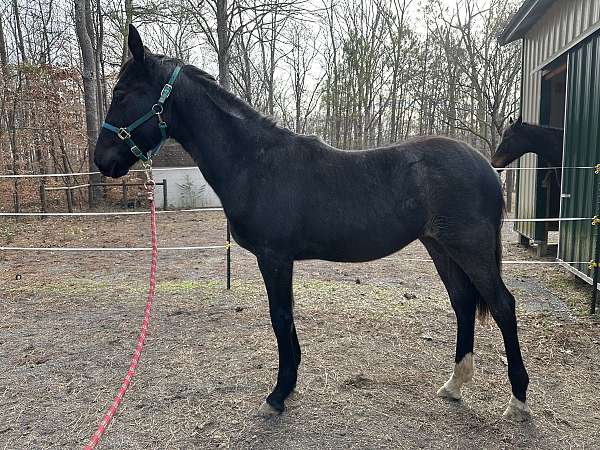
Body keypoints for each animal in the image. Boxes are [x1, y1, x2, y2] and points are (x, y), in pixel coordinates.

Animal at [92, 26, 528, 422]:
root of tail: (486, 167)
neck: (255, 162)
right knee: (463, 302)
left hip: (469, 249)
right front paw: (288, 385)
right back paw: (454, 385)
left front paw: (277, 395)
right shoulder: (279, 259)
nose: (102, 160)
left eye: (121, 94)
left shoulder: (274, 257)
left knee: (502, 305)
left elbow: (280, 317)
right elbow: (285, 318)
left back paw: (518, 401)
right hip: (440, 247)